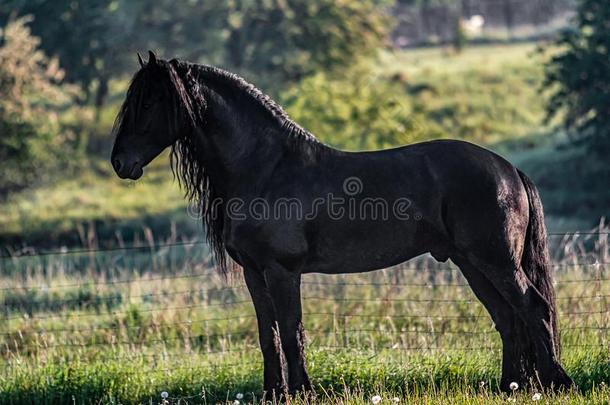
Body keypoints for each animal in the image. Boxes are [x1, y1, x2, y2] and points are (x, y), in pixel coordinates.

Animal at [111, 50, 572, 394]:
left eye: (149, 102)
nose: (120, 163)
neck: (268, 168)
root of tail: (508, 169)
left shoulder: (282, 271)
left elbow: (292, 331)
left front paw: (302, 392)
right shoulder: (254, 273)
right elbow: (268, 335)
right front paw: (274, 393)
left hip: (496, 261)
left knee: (534, 307)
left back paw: (556, 382)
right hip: (471, 264)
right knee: (508, 318)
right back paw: (510, 386)